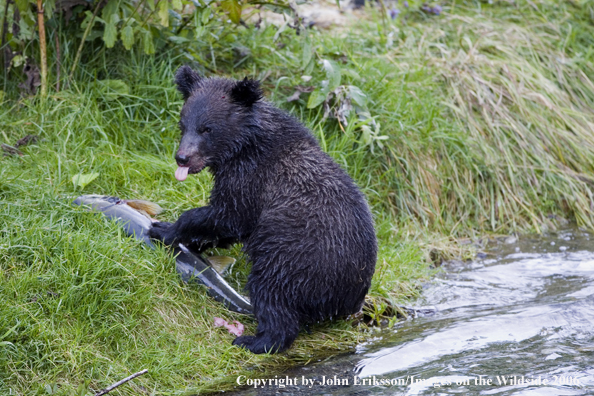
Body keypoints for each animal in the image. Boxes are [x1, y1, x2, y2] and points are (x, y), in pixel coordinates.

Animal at [150, 66, 376, 354]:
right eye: (183, 124)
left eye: (207, 128)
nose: (182, 158)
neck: (243, 147)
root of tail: (348, 298)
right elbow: (228, 226)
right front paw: (196, 242)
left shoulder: (250, 181)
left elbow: (226, 215)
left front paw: (164, 228)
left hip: (292, 257)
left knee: (272, 293)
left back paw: (254, 340)